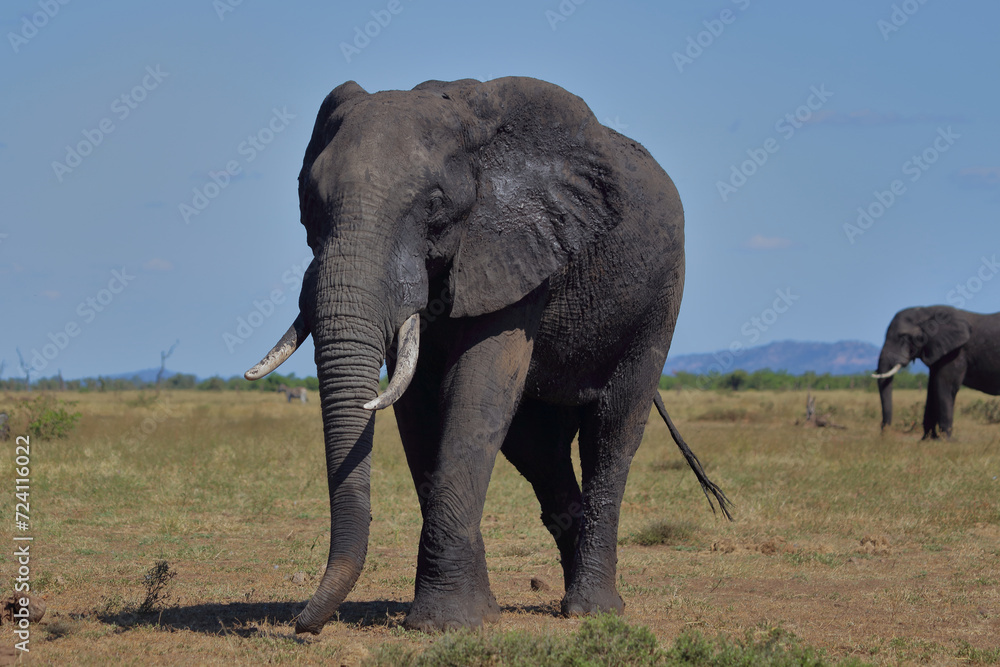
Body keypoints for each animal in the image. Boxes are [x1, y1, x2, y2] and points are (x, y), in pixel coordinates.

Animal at [244, 76, 730, 634]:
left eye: (434, 205)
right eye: (308, 203)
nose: (302, 622)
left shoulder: (515, 248)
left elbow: (476, 390)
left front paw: (447, 623)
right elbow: (419, 405)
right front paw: (474, 615)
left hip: (659, 298)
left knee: (612, 430)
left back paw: (593, 610)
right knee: (538, 448)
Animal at [873, 305, 1000, 438]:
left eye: (903, 337)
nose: (885, 434)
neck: (927, 311)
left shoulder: (955, 352)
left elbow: (945, 386)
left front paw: (945, 440)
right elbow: (933, 388)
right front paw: (927, 439)